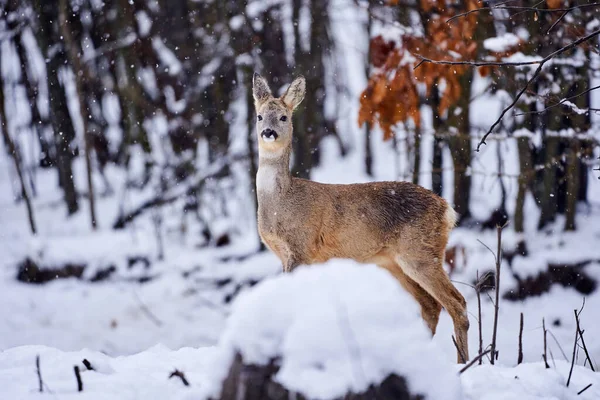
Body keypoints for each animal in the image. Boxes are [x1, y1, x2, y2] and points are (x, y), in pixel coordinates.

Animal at [252, 72, 468, 362]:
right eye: (259, 116)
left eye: (283, 117)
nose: (268, 132)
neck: (280, 204)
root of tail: (447, 210)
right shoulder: (286, 254)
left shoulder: (302, 247)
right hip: (392, 261)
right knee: (431, 305)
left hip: (420, 252)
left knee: (457, 303)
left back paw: (464, 363)